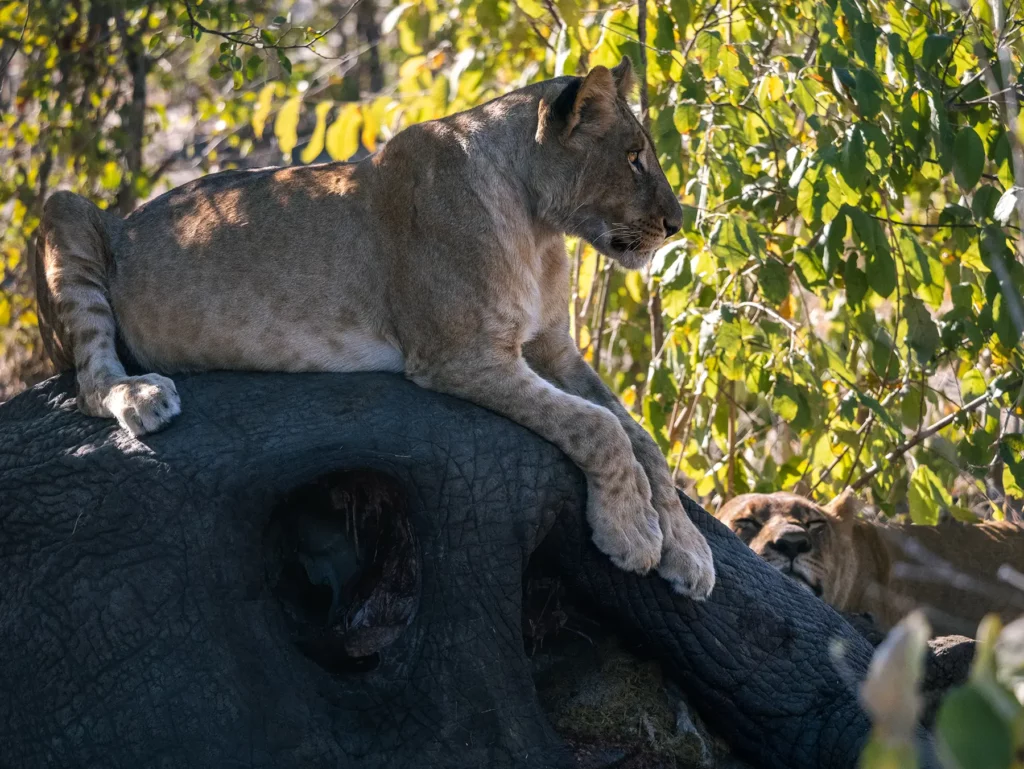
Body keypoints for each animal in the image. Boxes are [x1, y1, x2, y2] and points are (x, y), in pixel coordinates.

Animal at [34, 57, 715, 599]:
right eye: (634, 158)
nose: (677, 225)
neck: (540, 227)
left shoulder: (554, 348)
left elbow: (641, 436)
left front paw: (689, 551)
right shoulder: (460, 354)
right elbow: (597, 426)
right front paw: (632, 532)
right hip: (66, 209)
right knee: (89, 380)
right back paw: (142, 395)